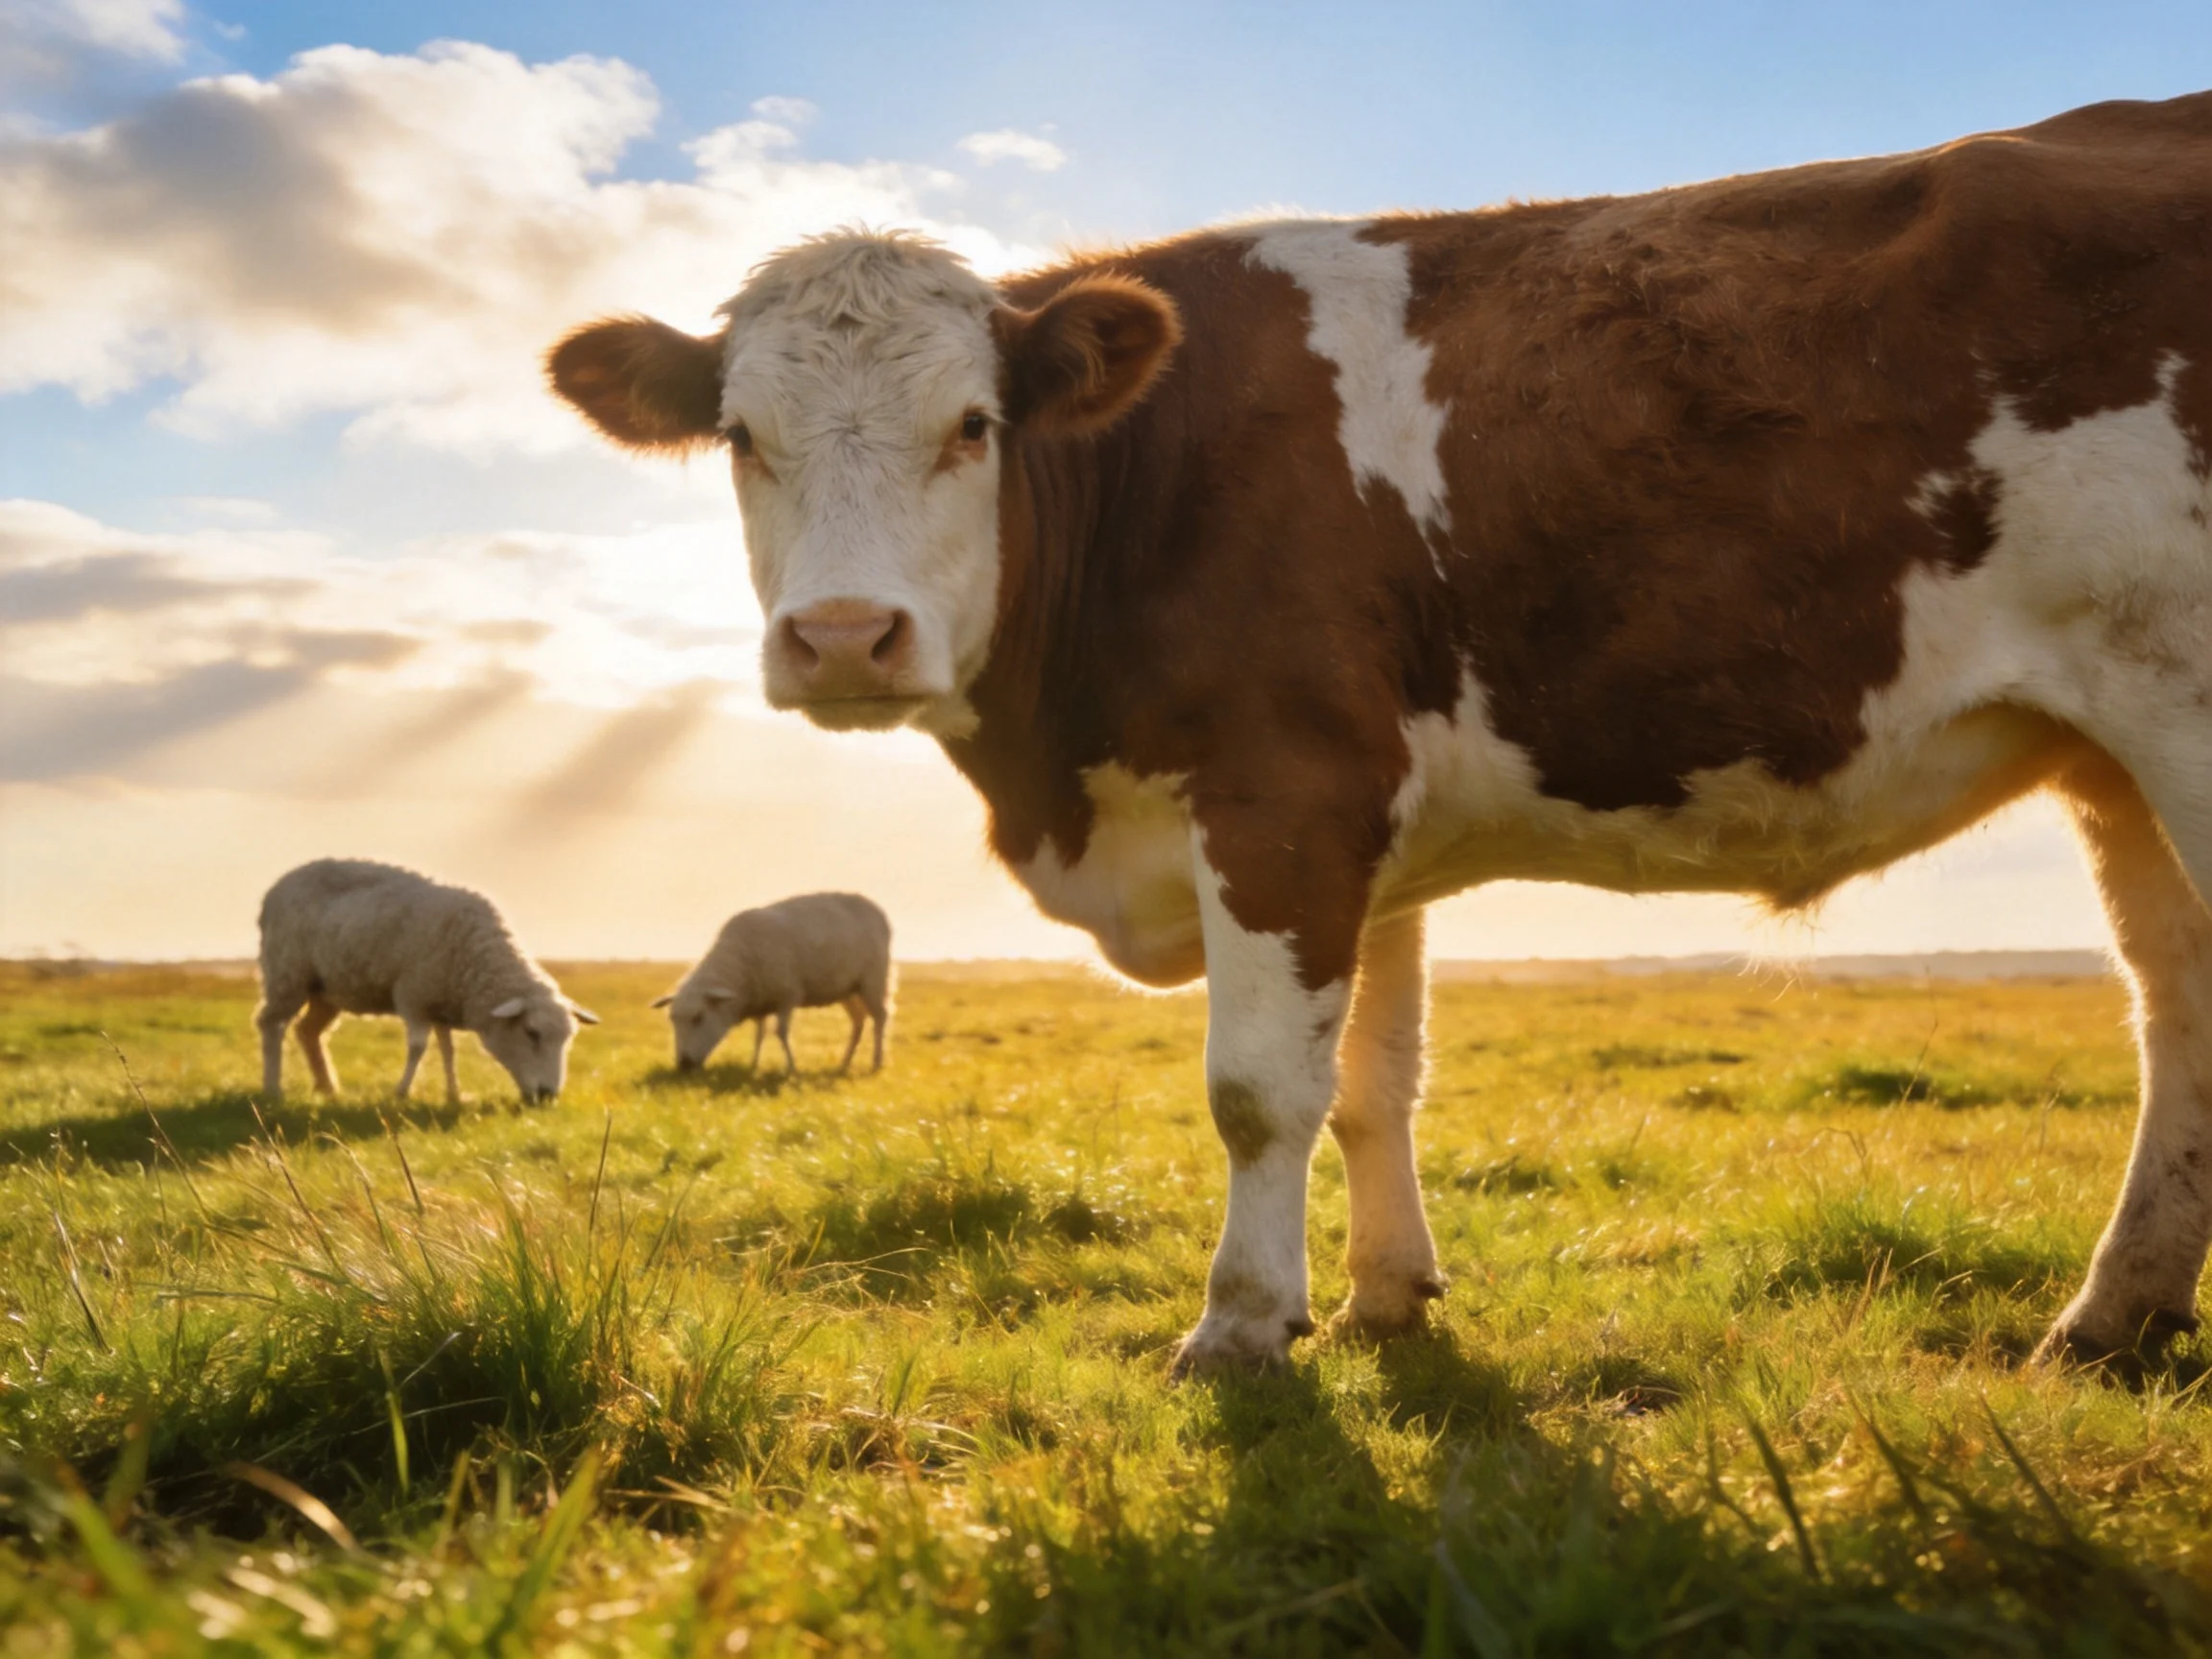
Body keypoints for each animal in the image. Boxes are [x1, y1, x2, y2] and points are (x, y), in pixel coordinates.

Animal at [255, 858, 597, 1105]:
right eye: (531, 1033)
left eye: (569, 1039)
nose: (548, 1096)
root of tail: (275, 889)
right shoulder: (413, 996)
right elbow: (418, 1048)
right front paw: (402, 1092)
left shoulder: (439, 1001)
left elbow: (448, 1050)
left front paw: (454, 1094)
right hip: (287, 975)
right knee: (272, 1025)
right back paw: (273, 1089)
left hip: (326, 990)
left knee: (308, 1031)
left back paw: (327, 1088)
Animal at [655, 893, 892, 1074]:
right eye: (672, 1020)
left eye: (698, 1018)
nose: (684, 1064)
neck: (741, 962)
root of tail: (878, 911)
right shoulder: (762, 1001)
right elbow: (759, 1036)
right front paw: (753, 1066)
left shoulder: (787, 996)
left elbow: (781, 1033)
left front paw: (791, 1069)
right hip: (849, 990)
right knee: (859, 1021)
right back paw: (844, 1064)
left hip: (873, 981)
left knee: (880, 1017)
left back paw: (876, 1062)